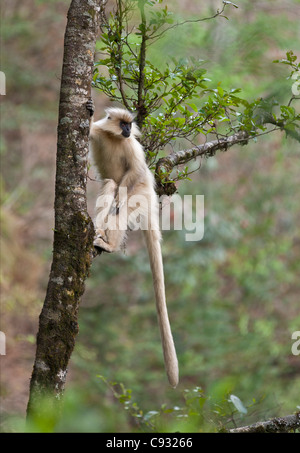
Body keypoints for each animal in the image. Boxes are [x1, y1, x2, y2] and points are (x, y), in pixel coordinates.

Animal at [85, 100, 179, 388]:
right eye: (122, 124)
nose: (127, 130)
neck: (116, 139)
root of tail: (151, 193)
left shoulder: (131, 148)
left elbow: (135, 170)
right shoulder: (99, 133)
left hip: (141, 192)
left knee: (123, 197)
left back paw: (110, 243)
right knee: (109, 183)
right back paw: (99, 234)